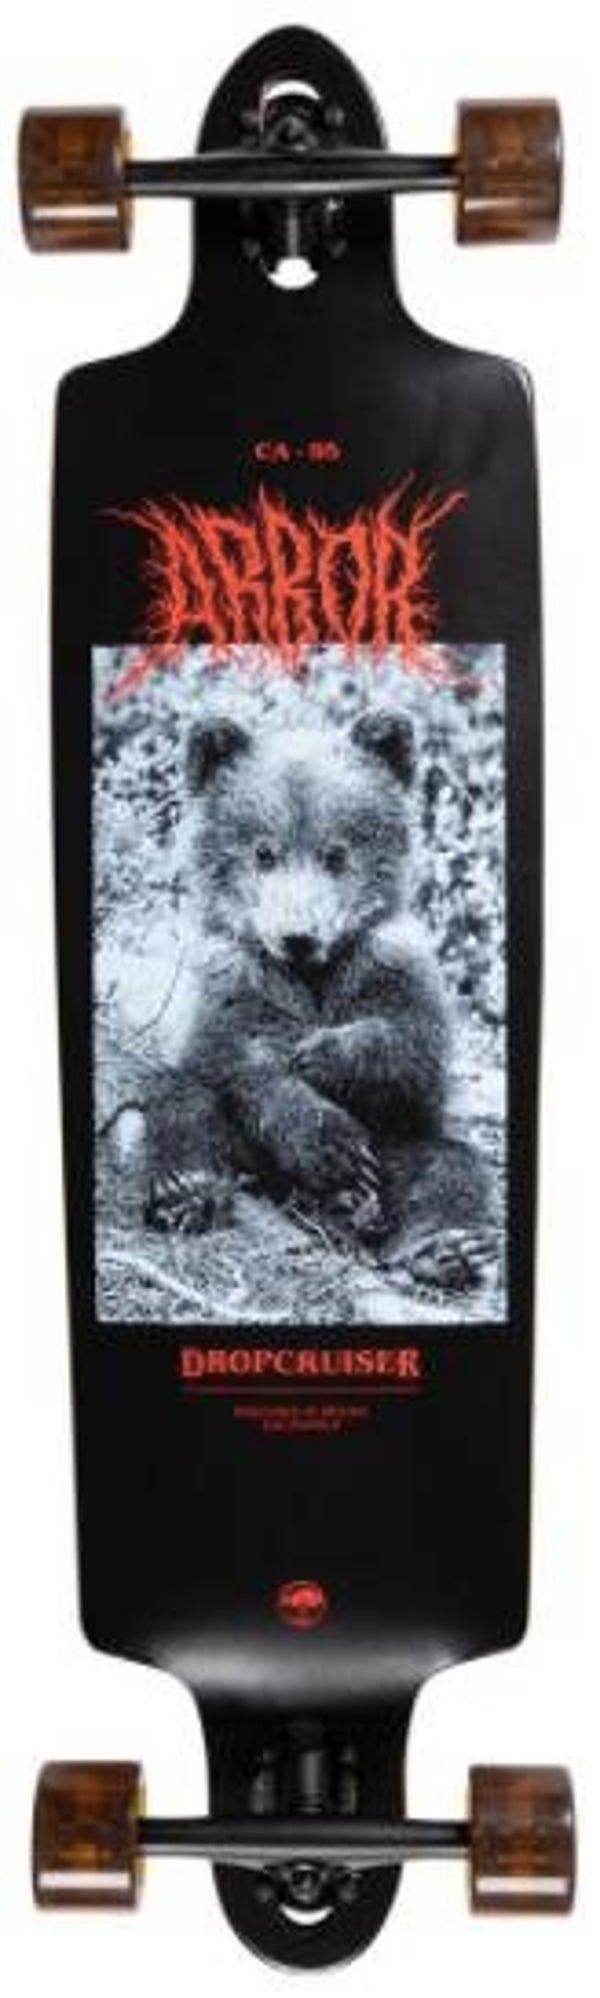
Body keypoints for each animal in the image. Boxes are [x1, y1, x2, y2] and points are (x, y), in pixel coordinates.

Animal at [143, 702, 495, 1293]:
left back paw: (445, 1249)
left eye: (335, 853)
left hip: (402, 1147)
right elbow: (237, 1059)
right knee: (182, 1103)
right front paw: (330, 1142)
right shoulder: (231, 977)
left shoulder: (391, 965)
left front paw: (320, 1053)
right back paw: (186, 1191)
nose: (298, 936)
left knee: (449, 1166)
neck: (311, 976)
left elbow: (413, 1048)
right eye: (264, 851)